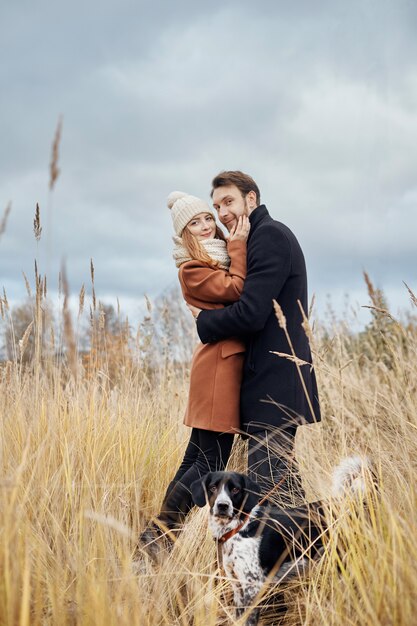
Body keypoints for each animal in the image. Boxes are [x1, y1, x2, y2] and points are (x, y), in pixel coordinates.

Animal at [190, 454, 372, 624]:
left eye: (235, 490)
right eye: (213, 487)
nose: (222, 506)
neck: (239, 527)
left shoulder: (253, 589)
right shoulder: (238, 588)